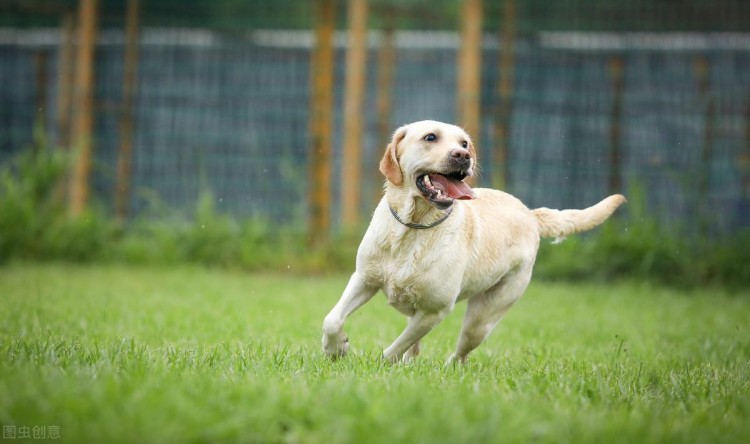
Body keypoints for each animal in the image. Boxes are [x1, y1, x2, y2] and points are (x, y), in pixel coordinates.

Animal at [320, 119, 624, 362]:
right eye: (430, 137)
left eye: (464, 142)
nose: (463, 155)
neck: (415, 225)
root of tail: (530, 213)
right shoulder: (364, 279)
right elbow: (332, 319)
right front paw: (337, 349)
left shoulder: (436, 311)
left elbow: (396, 347)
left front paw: (378, 364)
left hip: (482, 318)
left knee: (459, 354)